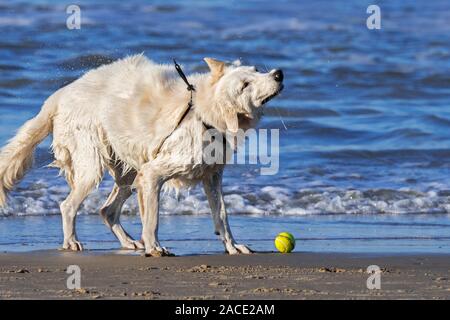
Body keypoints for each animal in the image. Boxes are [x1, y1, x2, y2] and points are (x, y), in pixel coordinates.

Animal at [0, 54, 284, 255]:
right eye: (245, 85)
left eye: (256, 70)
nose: (279, 74)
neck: (206, 113)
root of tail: (59, 95)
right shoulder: (153, 173)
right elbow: (153, 218)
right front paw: (155, 247)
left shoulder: (212, 176)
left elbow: (222, 215)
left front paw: (233, 247)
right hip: (94, 167)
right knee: (68, 205)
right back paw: (71, 242)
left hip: (128, 173)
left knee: (107, 210)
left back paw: (128, 242)